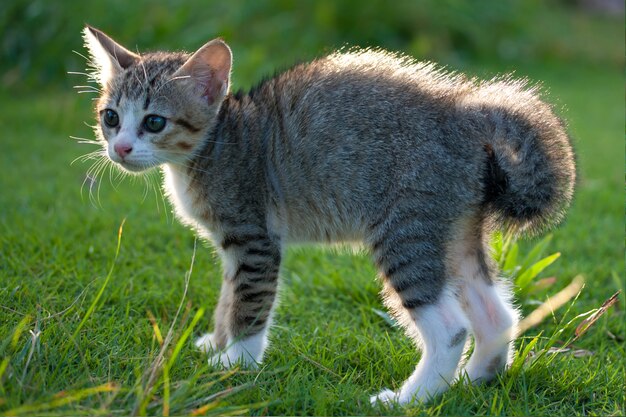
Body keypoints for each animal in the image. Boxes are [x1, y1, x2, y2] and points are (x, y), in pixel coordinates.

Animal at [80, 25, 572, 404]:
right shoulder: (231, 245)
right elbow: (227, 297)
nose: (120, 148)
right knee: (496, 315)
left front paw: (236, 364)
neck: (219, 140)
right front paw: (216, 344)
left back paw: (411, 399)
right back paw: (472, 381)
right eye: (110, 117)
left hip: (405, 231)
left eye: (154, 122)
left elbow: (248, 303)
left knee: (450, 328)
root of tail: (467, 109)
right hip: (453, 231)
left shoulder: (253, 238)